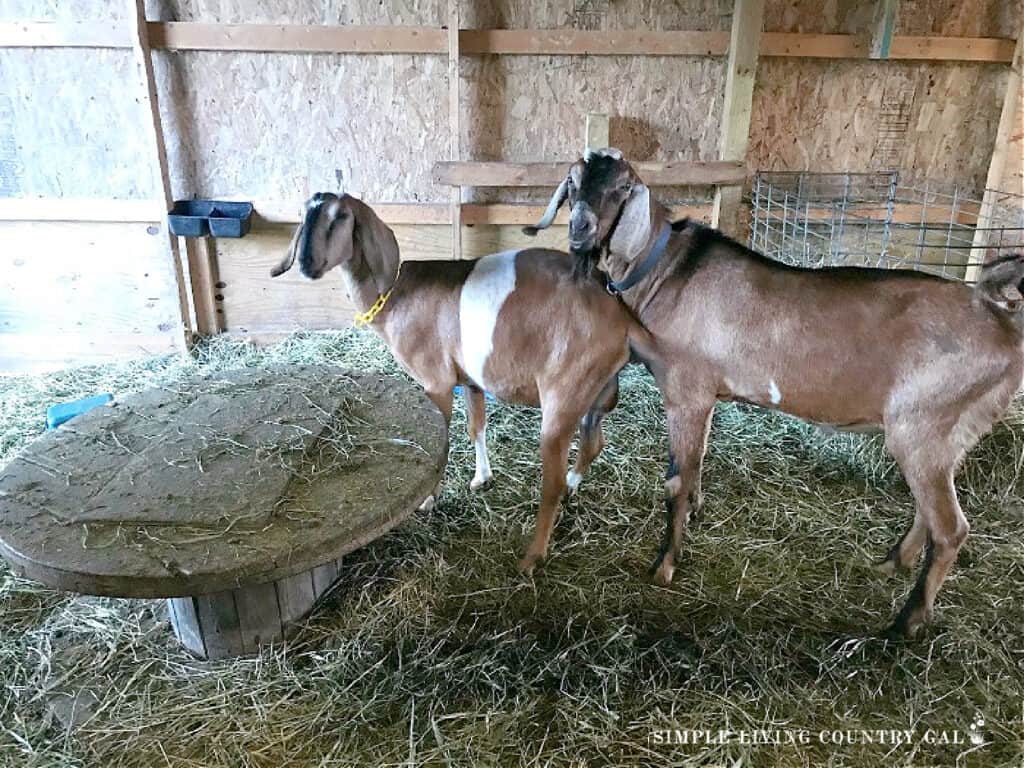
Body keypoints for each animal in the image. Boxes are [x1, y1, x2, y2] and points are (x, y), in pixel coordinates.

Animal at [268, 192, 659, 573]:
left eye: (341, 216)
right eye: (304, 216)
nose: (307, 263)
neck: (395, 295)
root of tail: (622, 320)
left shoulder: (436, 381)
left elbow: (441, 443)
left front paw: (428, 499)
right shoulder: (471, 380)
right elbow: (476, 428)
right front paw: (481, 478)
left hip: (563, 396)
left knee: (553, 480)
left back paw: (532, 558)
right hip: (597, 393)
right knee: (593, 443)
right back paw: (572, 491)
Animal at [528, 148, 1024, 638]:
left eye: (622, 187)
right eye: (572, 182)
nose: (579, 229)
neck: (668, 271)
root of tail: (997, 317)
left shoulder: (687, 389)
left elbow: (676, 481)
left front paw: (664, 565)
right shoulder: (707, 396)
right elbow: (696, 464)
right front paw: (694, 515)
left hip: (923, 424)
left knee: (951, 528)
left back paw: (906, 623)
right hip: (950, 434)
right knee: (931, 509)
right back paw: (892, 563)